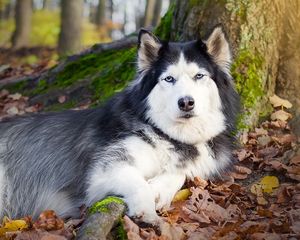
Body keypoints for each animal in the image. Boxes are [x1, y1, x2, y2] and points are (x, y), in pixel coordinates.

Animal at [0, 27, 239, 224]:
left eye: (199, 76)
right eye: (169, 79)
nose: (186, 102)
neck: (169, 136)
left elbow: (181, 173)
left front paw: (159, 189)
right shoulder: (105, 169)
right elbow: (138, 183)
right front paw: (146, 210)